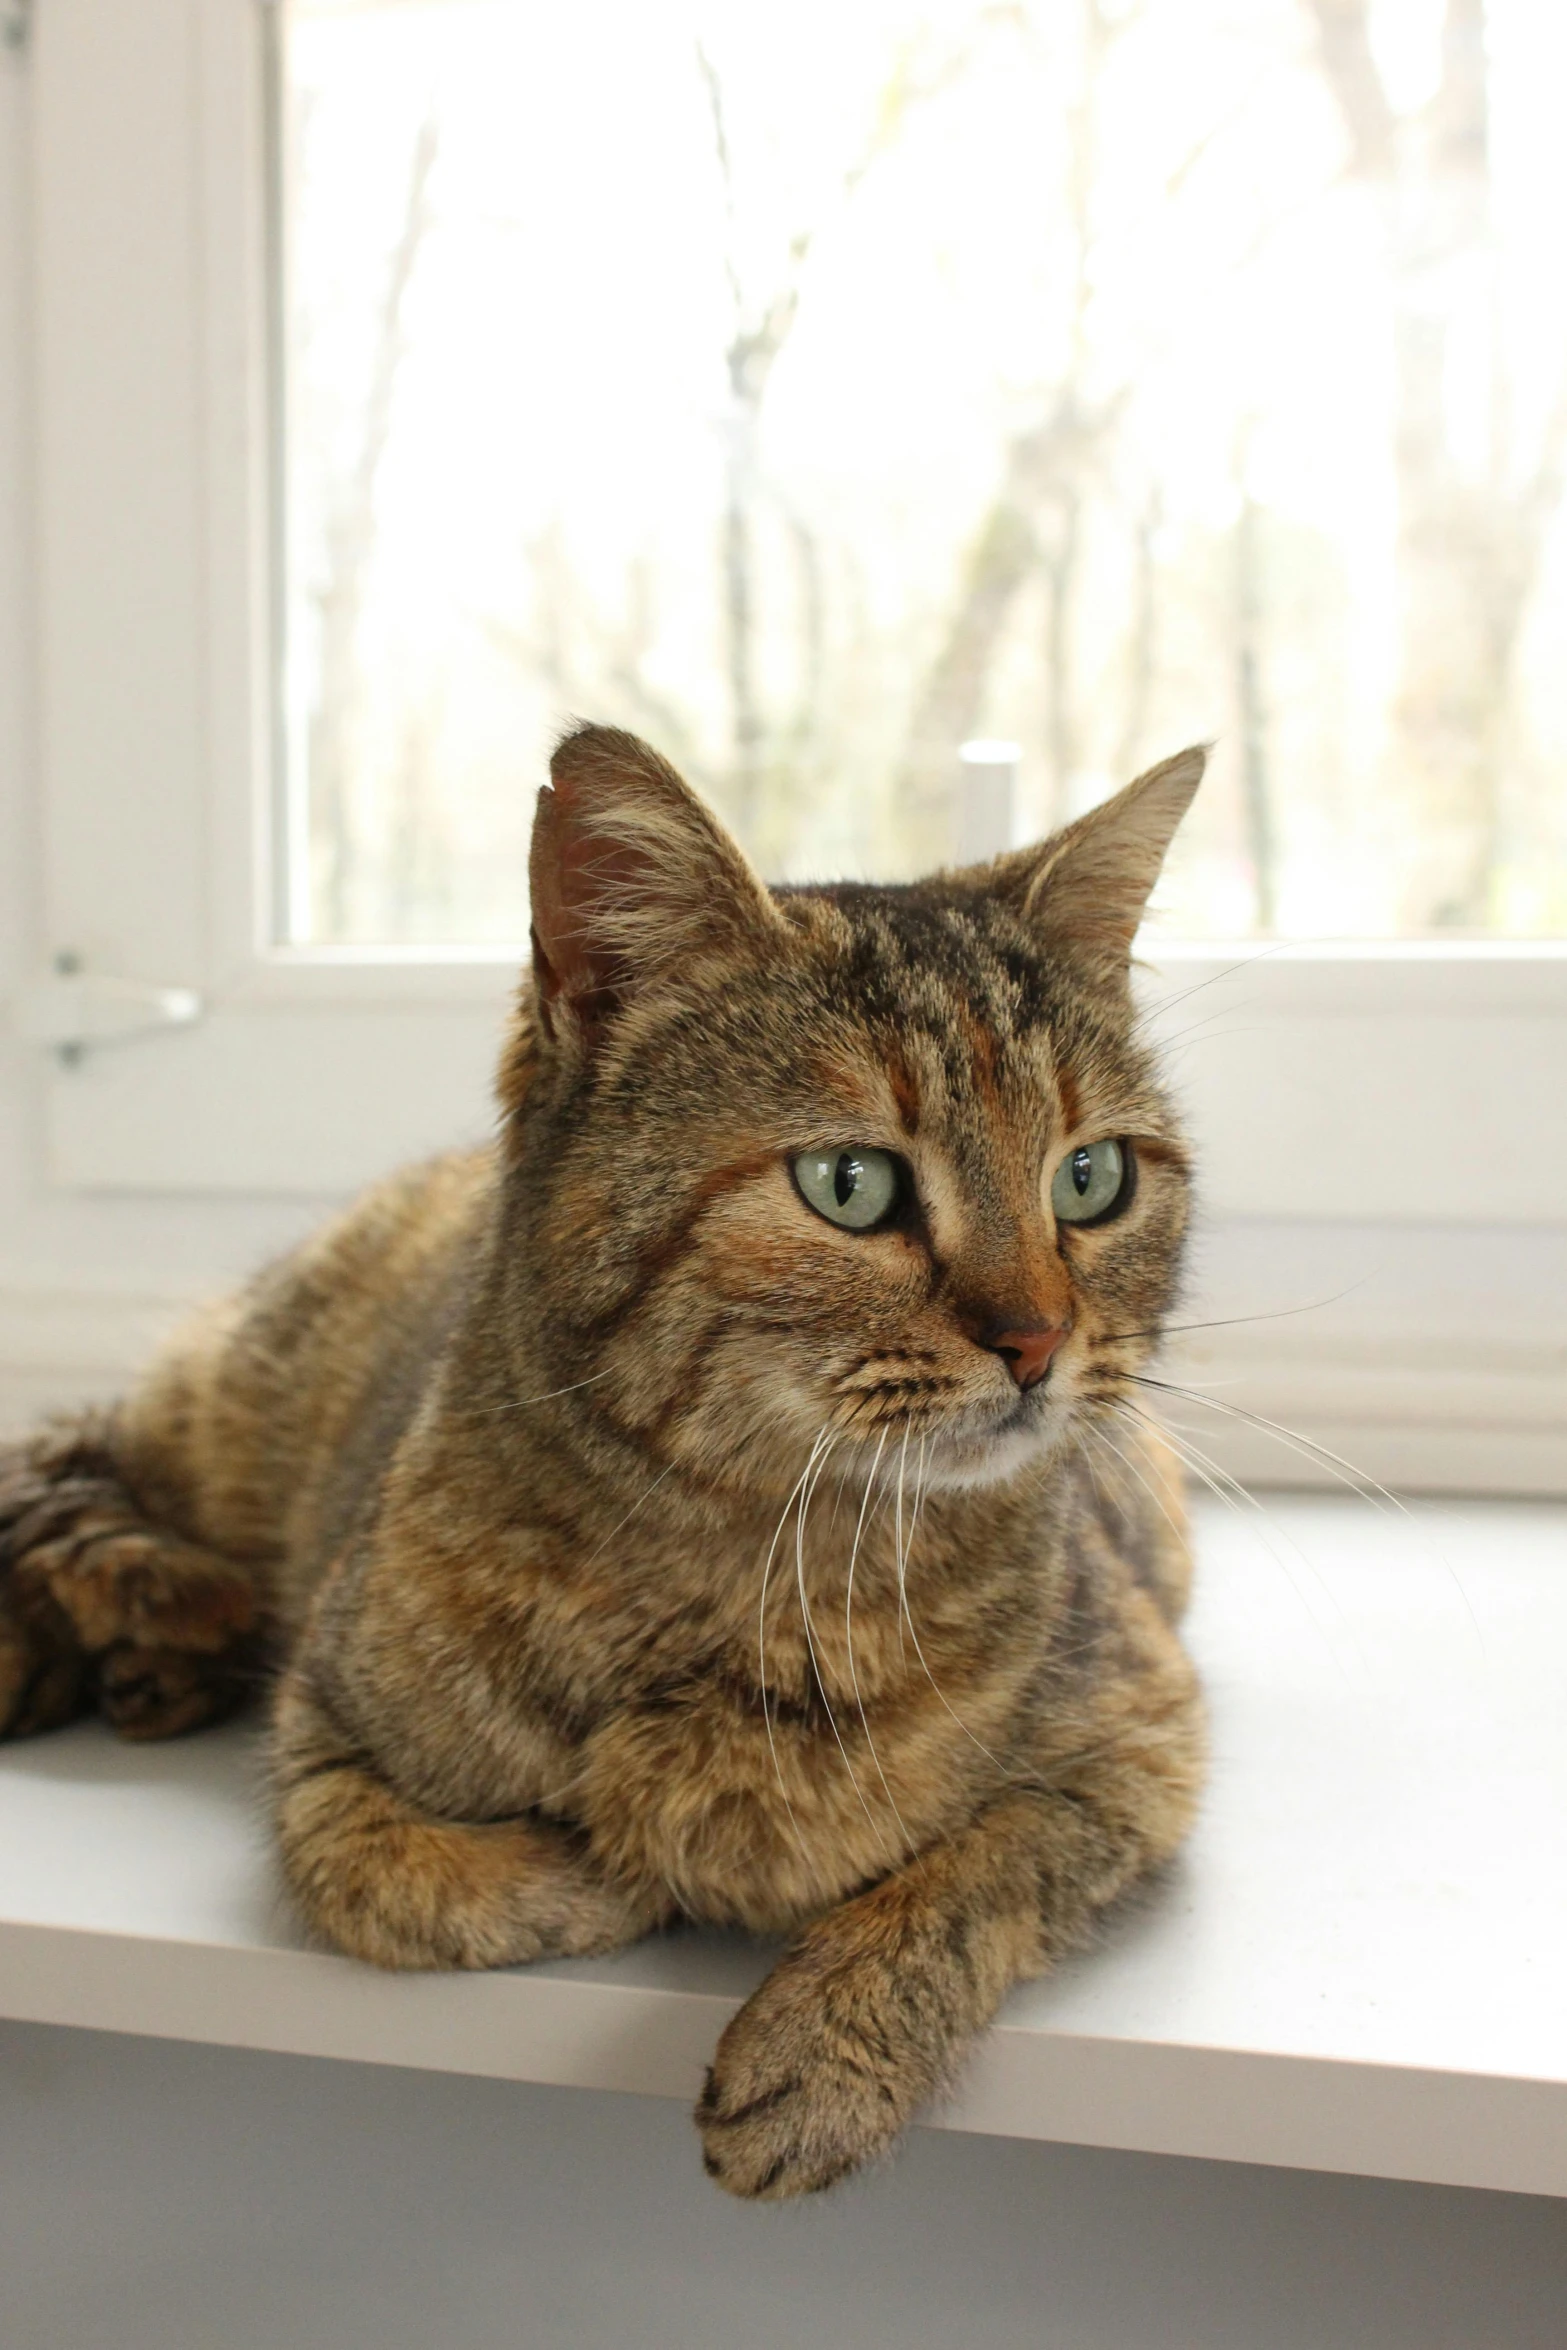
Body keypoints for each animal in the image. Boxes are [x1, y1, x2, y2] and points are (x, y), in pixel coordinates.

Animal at [0, 719, 1212, 2199]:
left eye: (1090, 1178)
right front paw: (595, 1873)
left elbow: (979, 1869)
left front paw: (824, 2047)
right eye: (849, 1184)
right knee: (70, 1462)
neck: (750, 1573)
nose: (1038, 1340)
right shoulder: (321, 1730)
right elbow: (389, 1875)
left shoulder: (1140, 1734)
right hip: (220, 1409)